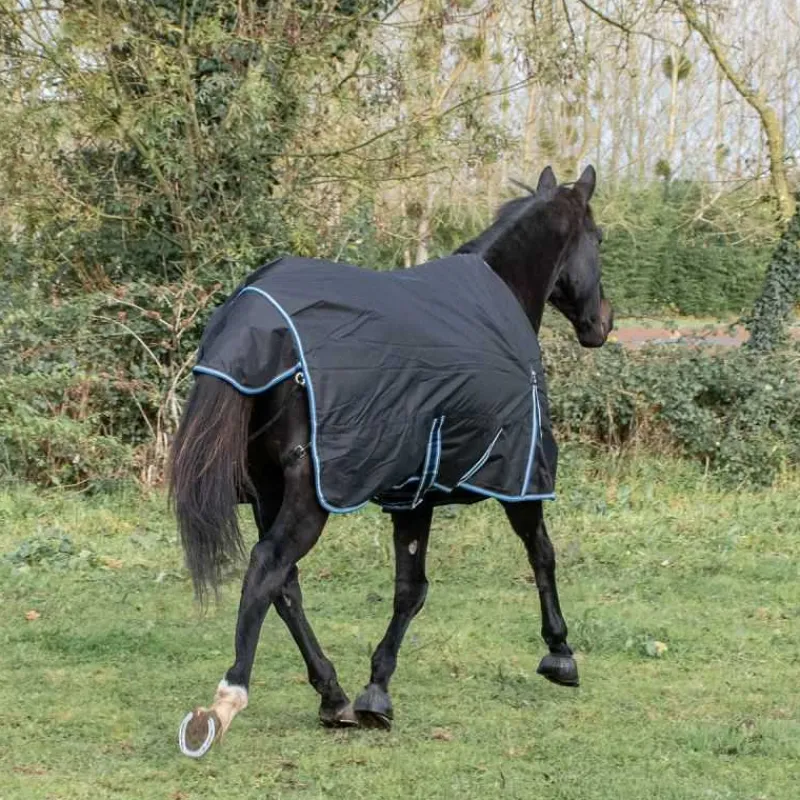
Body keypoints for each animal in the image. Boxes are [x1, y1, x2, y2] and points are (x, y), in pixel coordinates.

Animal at [170, 165, 613, 758]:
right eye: (599, 238)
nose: (603, 322)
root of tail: (252, 323)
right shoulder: (518, 474)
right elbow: (537, 554)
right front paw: (560, 653)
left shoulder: (413, 489)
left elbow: (409, 587)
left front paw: (372, 691)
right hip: (311, 496)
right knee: (266, 569)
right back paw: (226, 701)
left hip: (268, 490)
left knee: (285, 584)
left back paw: (332, 696)